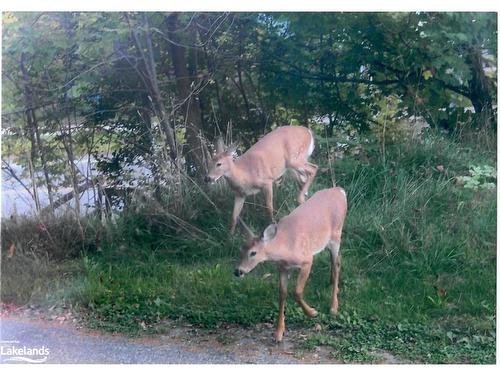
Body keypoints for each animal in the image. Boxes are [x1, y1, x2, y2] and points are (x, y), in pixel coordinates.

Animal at [234, 188, 348, 344]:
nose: (238, 271)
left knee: (337, 264)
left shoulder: (307, 260)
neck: (285, 248)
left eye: (253, 252)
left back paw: (333, 307)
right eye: (241, 249)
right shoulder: (282, 268)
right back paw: (331, 284)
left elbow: (297, 291)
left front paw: (312, 312)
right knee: (334, 261)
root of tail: (340, 191)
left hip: (336, 234)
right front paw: (278, 333)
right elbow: (282, 294)